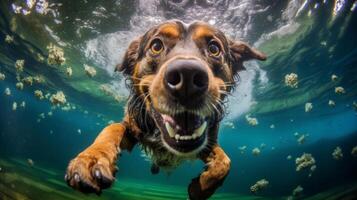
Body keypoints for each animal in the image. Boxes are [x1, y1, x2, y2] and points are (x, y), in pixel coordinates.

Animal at [64, 19, 266, 198]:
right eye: (156, 46)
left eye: (214, 48)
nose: (187, 77)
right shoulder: (132, 128)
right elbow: (111, 128)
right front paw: (91, 159)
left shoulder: (207, 142)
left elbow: (225, 162)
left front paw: (201, 187)